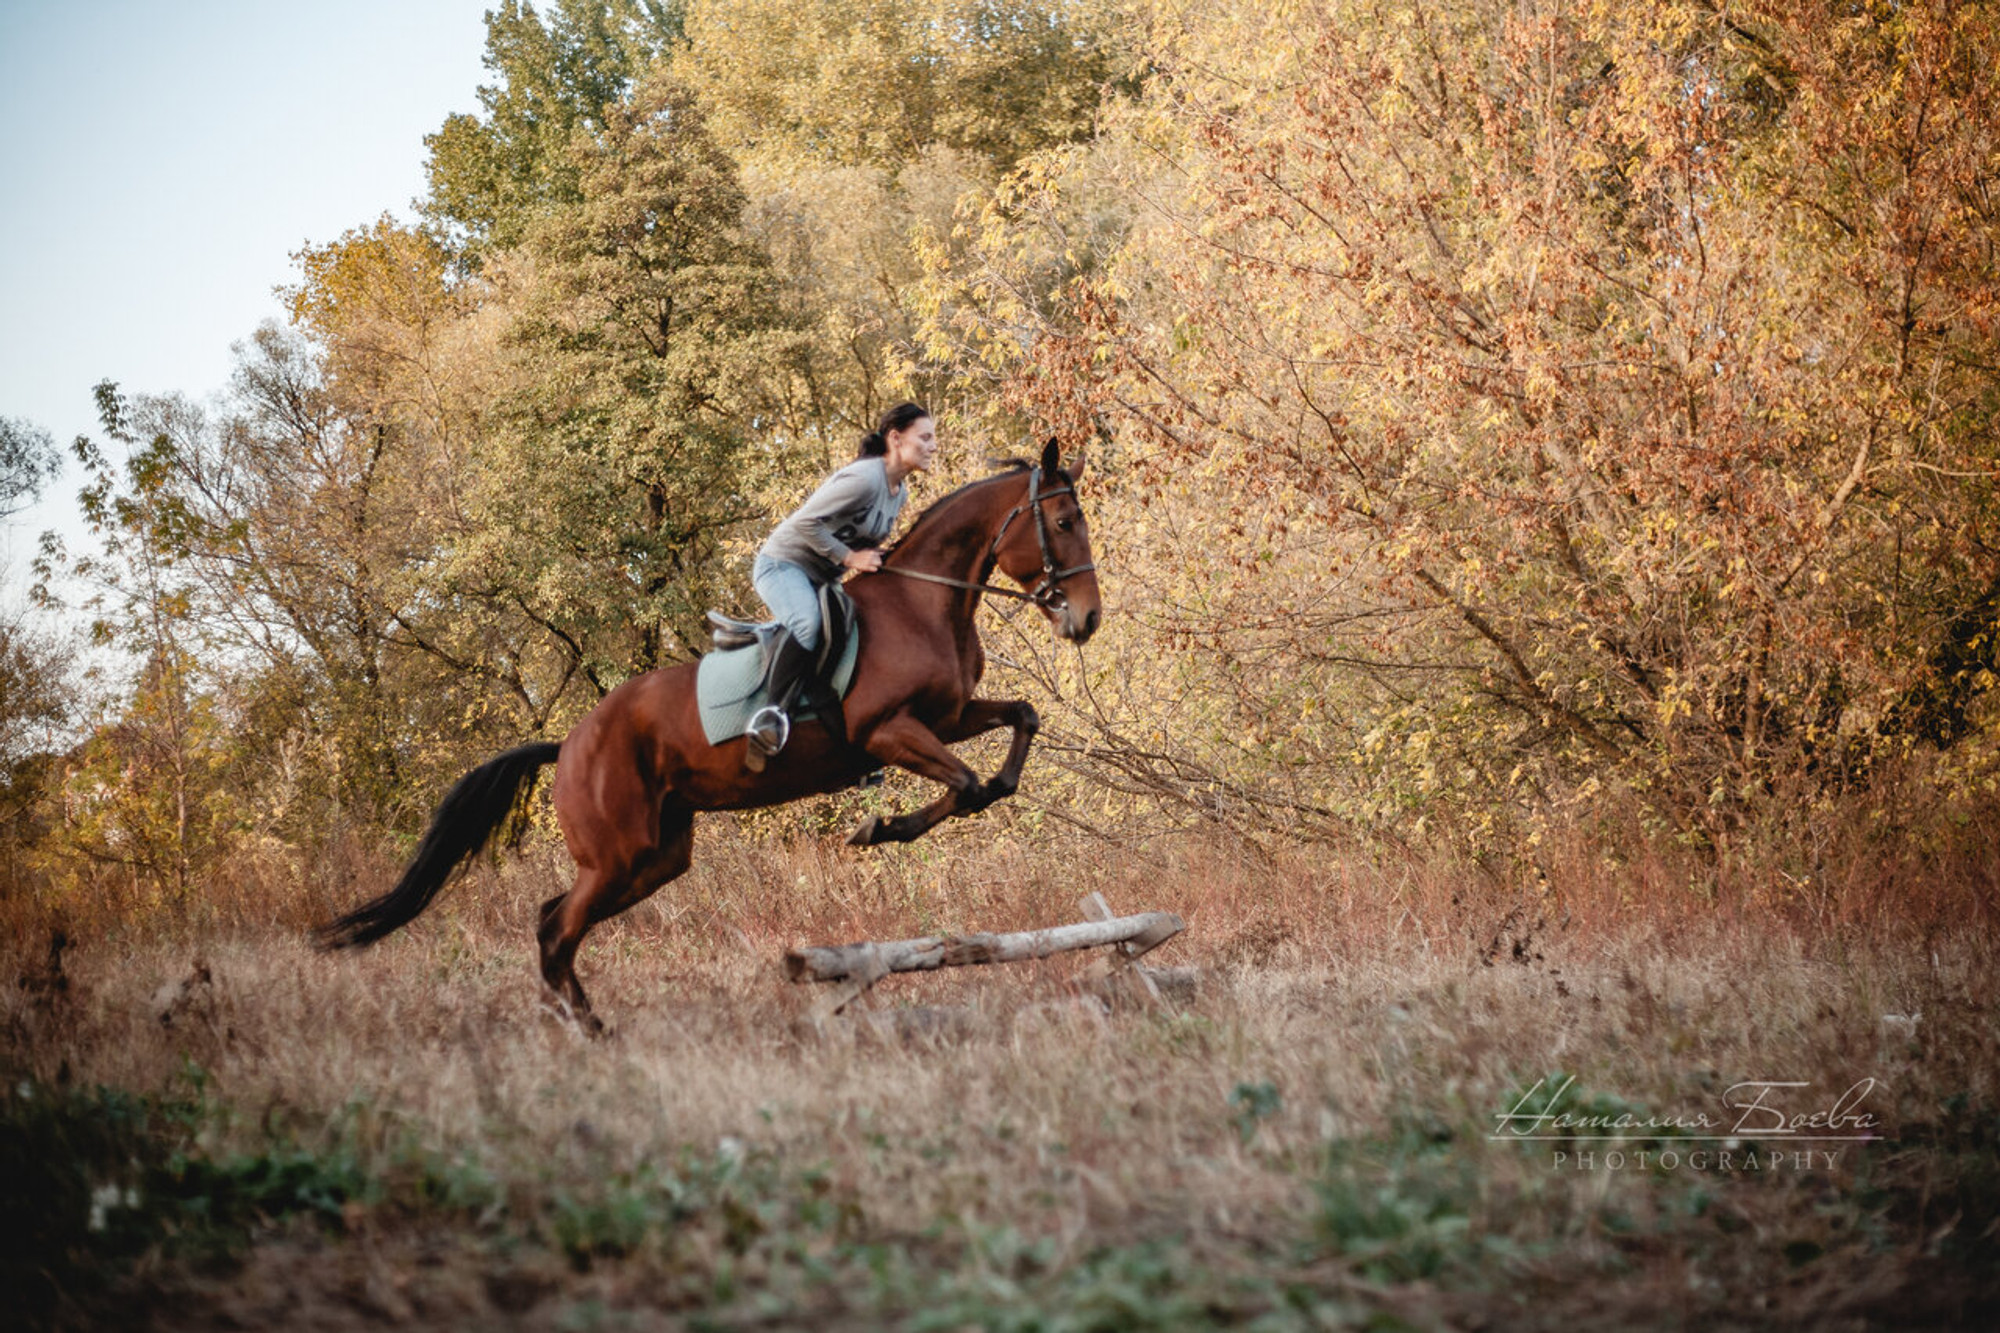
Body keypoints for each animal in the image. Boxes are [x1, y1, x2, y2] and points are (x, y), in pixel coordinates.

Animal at [324, 436, 1112, 1024]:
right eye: (1063, 523)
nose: (1087, 619)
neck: (925, 603)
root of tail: (570, 742)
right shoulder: (888, 729)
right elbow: (968, 785)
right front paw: (879, 829)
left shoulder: (947, 716)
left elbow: (1019, 730)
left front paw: (895, 821)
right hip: (618, 854)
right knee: (555, 928)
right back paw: (584, 1030)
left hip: (656, 856)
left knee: (556, 920)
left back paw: (579, 1020)